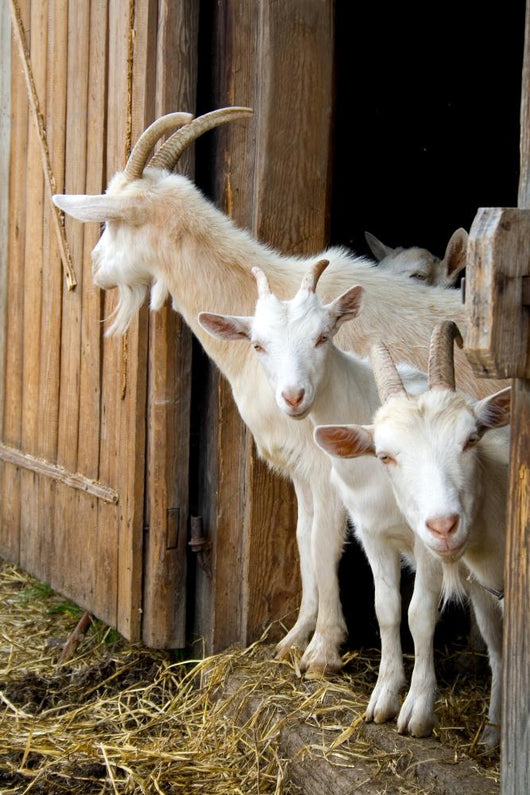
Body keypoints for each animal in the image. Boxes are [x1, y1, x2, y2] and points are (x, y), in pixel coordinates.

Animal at [52, 106, 506, 677]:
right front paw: (293, 639)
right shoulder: (301, 471)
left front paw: (323, 651)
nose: (94, 268)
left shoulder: (331, 468)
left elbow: (325, 548)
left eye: (111, 221)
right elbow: (303, 544)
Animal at [314, 321, 510, 747]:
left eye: (471, 439)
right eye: (385, 455)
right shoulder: (373, 537)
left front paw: (417, 710)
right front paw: (384, 698)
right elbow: (386, 608)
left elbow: (420, 613)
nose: (444, 524)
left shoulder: (427, 548)